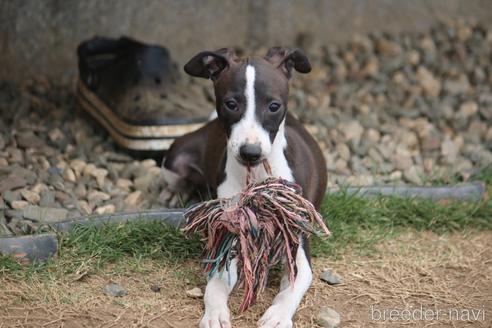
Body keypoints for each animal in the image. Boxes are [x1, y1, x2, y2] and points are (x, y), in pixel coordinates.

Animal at [164, 46, 326, 328]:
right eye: (231, 104)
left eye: (274, 106)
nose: (250, 152)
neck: (255, 176)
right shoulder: (230, 236)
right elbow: (216, 283)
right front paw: (215, 313)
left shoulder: (296, 242)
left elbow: (293, 286)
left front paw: (278, 316)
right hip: (177, 152)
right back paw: (176, 192)